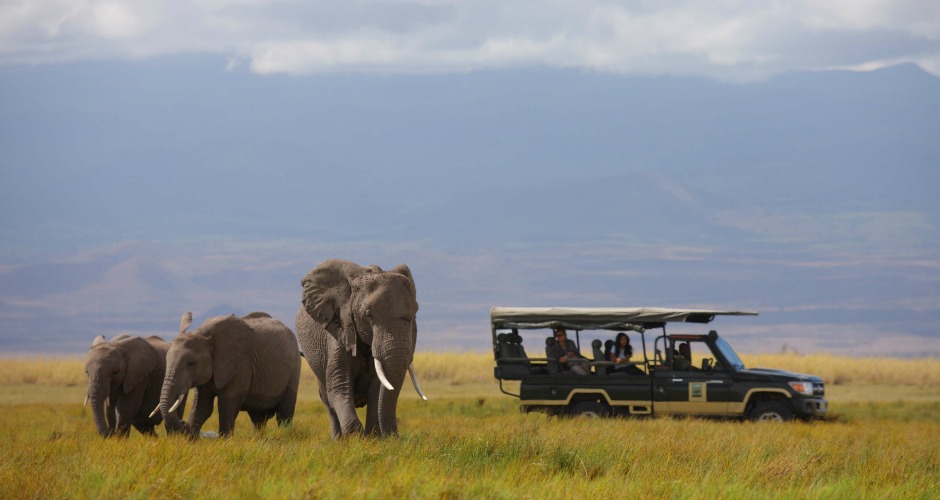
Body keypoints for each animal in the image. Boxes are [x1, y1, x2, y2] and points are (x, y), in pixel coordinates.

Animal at [156, 308, 300, 438]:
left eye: (191, 363)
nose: (183, 423)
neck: (203, 335)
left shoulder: (239, 367)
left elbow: (227, 405)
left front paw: (224, 441)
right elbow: (202, 406)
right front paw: (191, 440)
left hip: (294, 366)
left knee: (284, 413)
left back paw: (285, 436)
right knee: (258, 418)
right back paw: (259, 439)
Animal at [296, 258, 428, 438]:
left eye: (414, 315)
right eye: (368, 315)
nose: (395, 436)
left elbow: (377, 390)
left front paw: (373, 438)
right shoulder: (339, 328)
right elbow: (339, 386)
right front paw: (355, 437)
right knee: (328, 400)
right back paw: (337, 439)